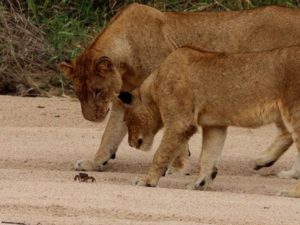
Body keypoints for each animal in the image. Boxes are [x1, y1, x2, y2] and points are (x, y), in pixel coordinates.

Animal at [59, 3, 300, 172]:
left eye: (98, 90)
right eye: (78, 93)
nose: (91, 118)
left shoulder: (173, 93)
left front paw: (178, 168)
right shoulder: (124, 99)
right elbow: (110, 134)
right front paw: (95, 162)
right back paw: (265, 162)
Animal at [116, 45, 300, 190]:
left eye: (126, 120)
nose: (131, 144)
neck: (154, 85)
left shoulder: (180, 123)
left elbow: (161, 153)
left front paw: (147, 180)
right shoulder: (215, 126)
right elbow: (208, 156)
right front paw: (199, 183)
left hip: (292, 110)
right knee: (286, 135)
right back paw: (262, 162)